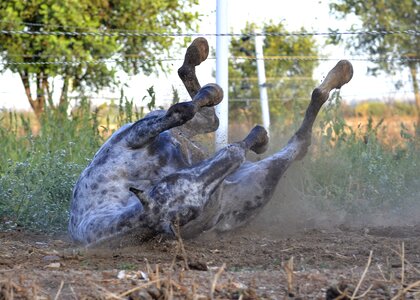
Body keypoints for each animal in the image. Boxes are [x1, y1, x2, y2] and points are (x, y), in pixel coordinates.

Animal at [69, 37, 354, 245]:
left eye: (167, 182)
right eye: (194, 210)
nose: (223, 169)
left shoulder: (136, 134)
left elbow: (184, 111)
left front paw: (211, 94)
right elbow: (205, 126)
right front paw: (247, 140)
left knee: (207, 116)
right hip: (265, 177)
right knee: (300, 141)